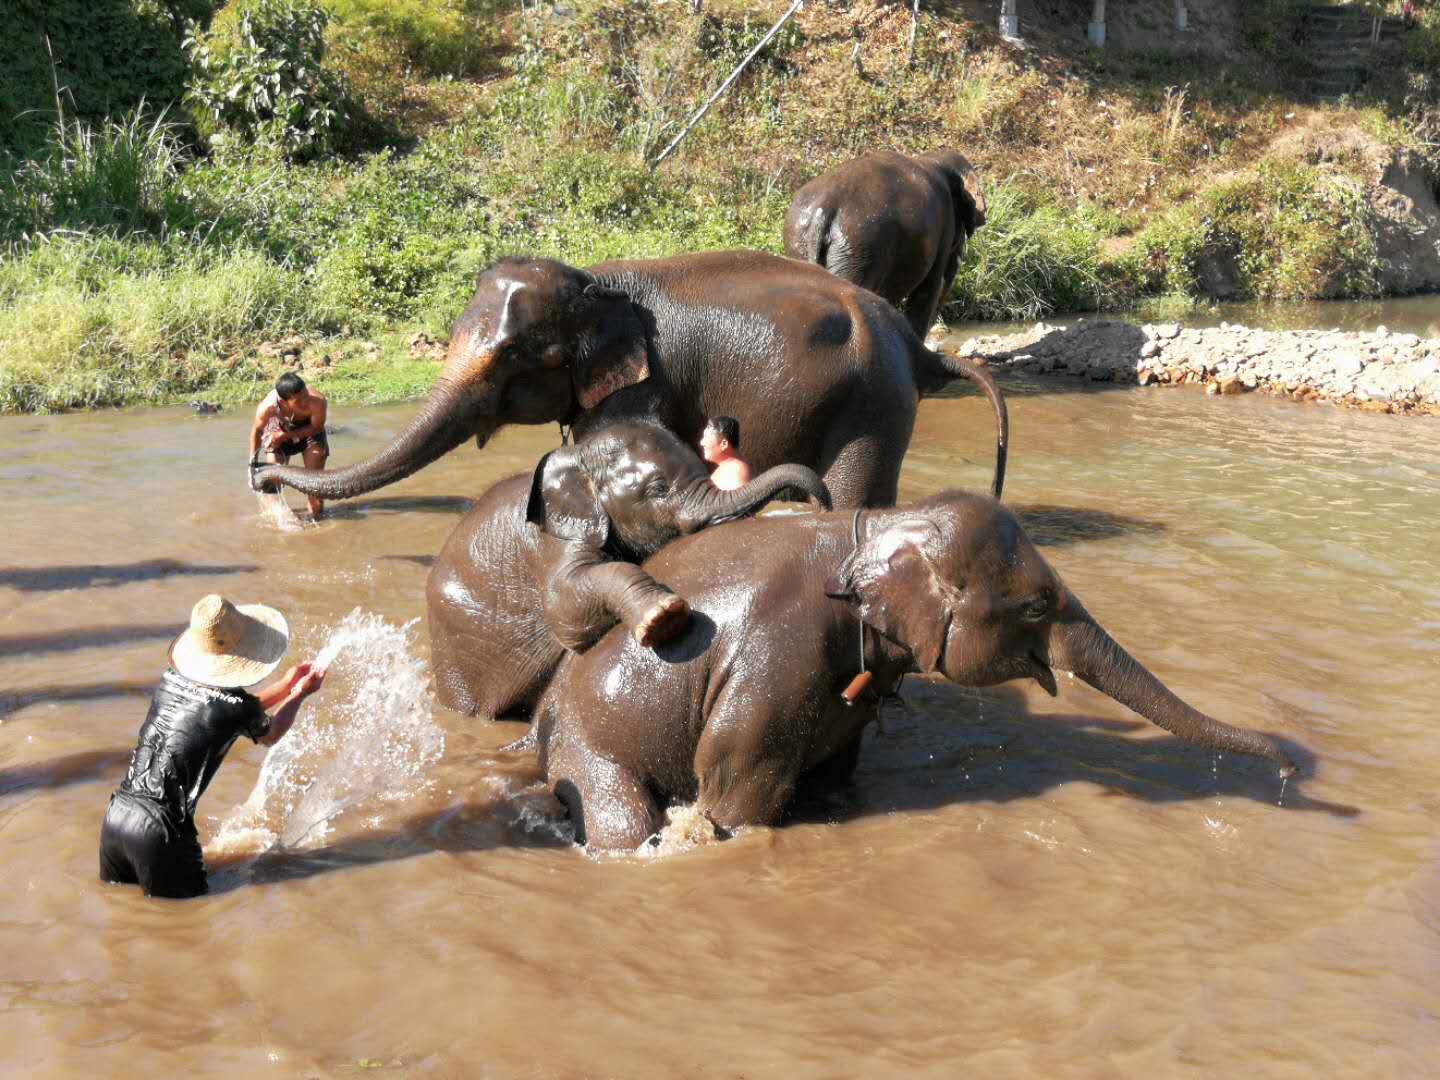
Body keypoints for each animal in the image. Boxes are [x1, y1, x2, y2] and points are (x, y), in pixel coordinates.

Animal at [253, 249, 1008, 512]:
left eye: (515, 356)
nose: (263, 474)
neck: (598, 282)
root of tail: (914, 343)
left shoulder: (646, 384)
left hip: (873, 403)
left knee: (855, 489)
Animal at [423, 423, 835, 720]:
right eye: (658, 489)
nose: (821, 507)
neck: (579, 457)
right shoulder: (553, 541)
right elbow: (565, 609)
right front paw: (664, 618)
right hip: (458, 654)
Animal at [535, 489, 1301, 852]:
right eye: (1036, 604)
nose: (1291, 765)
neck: (879, 526)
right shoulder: (777, 656)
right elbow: (735, 790)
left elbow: (835, 767)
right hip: (590, 749)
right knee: (621, 818)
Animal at [783, 150, 984, 339]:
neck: (934, 157)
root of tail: (823, 209)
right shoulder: (944, 228)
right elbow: (929, 289)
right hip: (858, 250)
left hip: (801, 242)